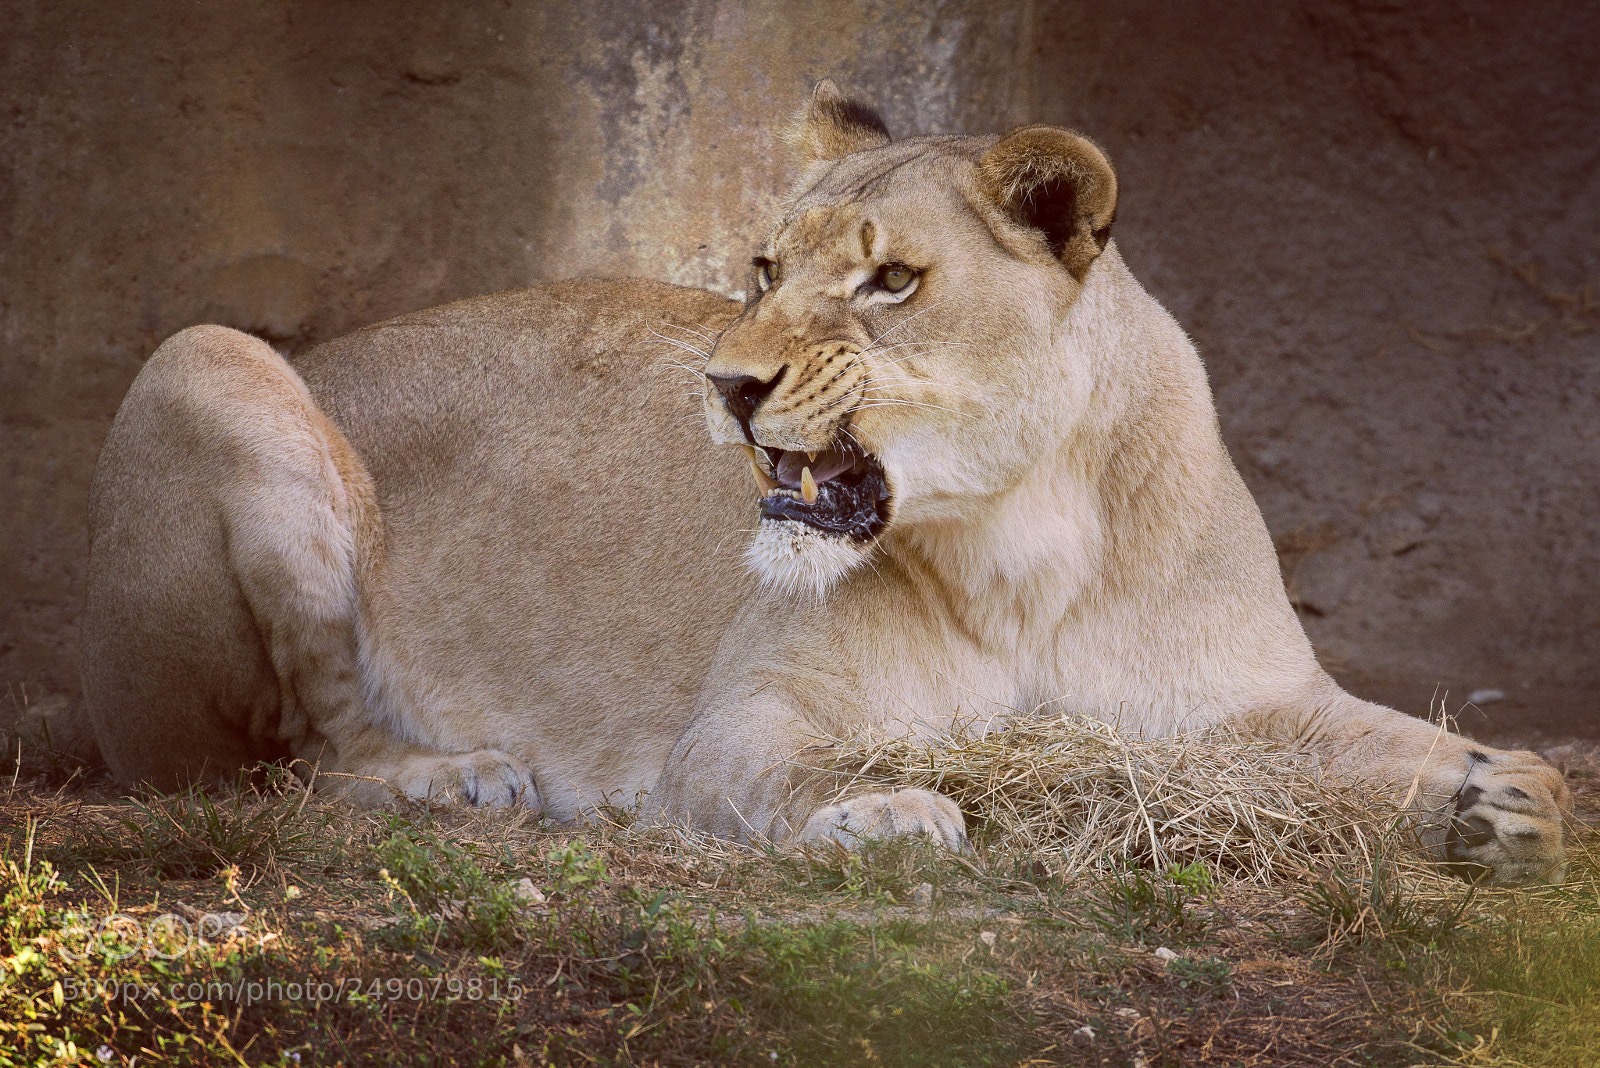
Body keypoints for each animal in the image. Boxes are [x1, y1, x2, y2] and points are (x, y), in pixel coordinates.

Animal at [66, 81, 1568, 885]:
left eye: (889, 279)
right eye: (764, 268)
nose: (725, 386)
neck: (1036, 543)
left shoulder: (1258, 696)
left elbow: (1391, 743)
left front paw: (1506, 797)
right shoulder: (731, 729)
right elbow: (800, 771)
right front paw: (888, 807)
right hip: (206, 362)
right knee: (279, 758)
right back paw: (456, 780)